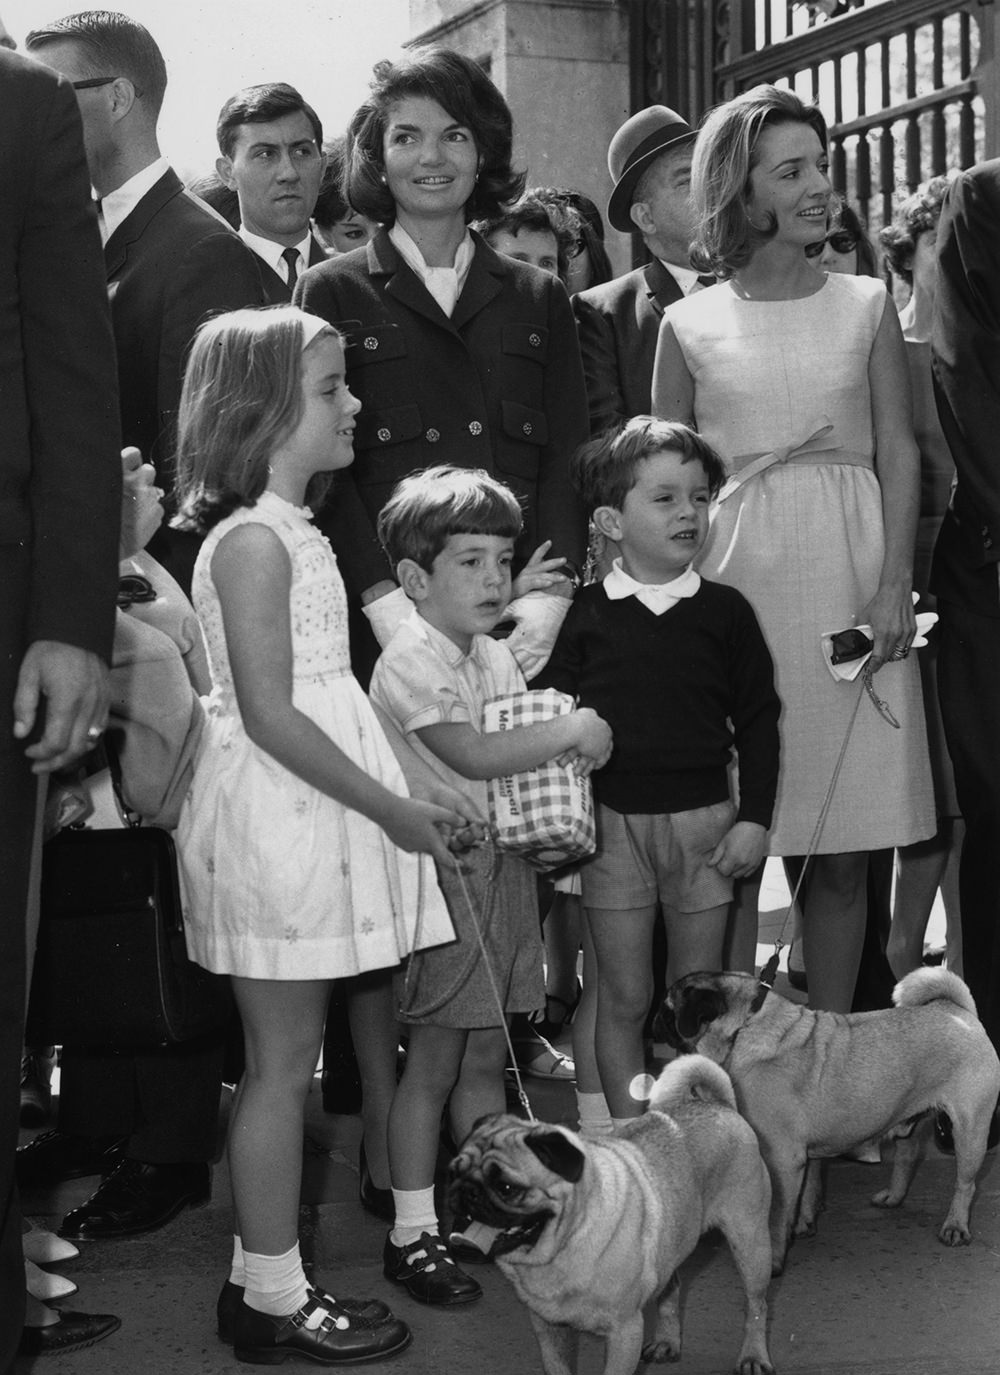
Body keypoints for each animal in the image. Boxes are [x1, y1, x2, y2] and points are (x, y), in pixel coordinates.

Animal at [451, 1050, 775, 1375]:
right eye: (455, 1171)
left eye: (506, 1187)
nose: (467, 1192)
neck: (563, 1244)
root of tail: (720, 1105)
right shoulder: (548, 1328)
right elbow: (557, 1366)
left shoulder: (624, 1332)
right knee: (671, 1288)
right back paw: (667, 1342)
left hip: (751, 1243)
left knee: (757, 1306)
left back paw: (754, 1357)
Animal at [657, 962, 1000, 1270]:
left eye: (668, 1008)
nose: (654, 1020)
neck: (747, 1024)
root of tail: (957, 1010)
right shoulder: (805, 1155)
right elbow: (809, 1190)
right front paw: (805, 1224)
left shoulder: (783, 1158)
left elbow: (779, 1212)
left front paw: (776, 1259)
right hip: (909, 1119)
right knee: (908, 1154)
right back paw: (893, 1196)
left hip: (970, 1130)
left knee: (965, 1184)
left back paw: (955, 1226)